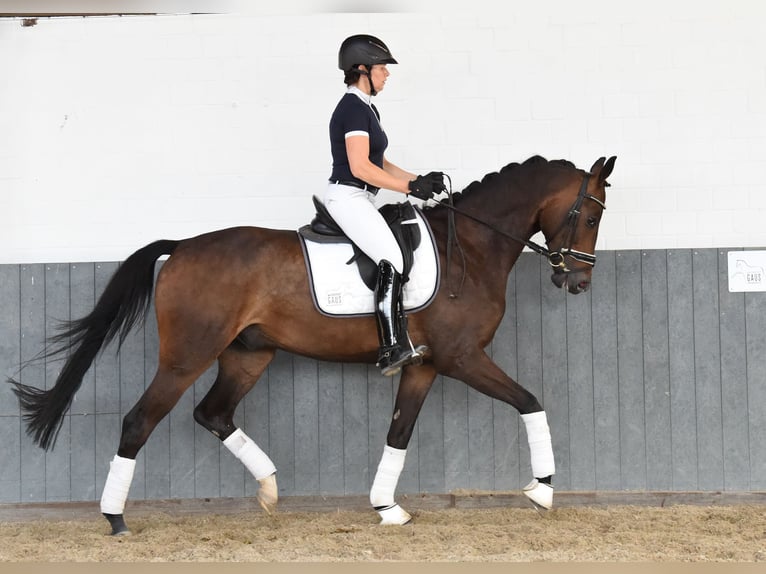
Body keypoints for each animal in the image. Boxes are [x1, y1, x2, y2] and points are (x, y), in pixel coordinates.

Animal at [9, 153, 616, 536]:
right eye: (589, 215)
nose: (580, 282)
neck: (470, 244)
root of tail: (181, 247)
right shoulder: (463, 357)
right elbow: (531, 401)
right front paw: (542, 490)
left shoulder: (424, 365)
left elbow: (398, 433)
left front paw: (387, 508)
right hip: (187, 356)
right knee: (141, 420)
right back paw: (115, 519)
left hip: (248, 354)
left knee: (213, 413)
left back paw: (270, 490)